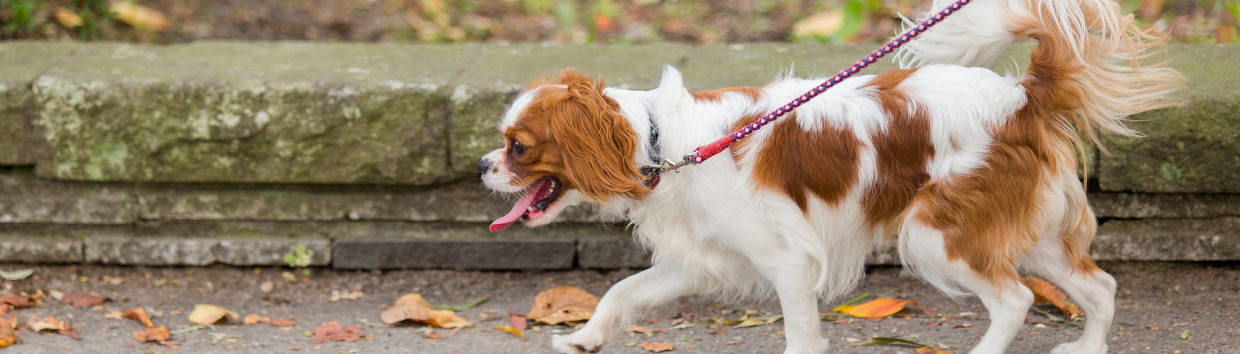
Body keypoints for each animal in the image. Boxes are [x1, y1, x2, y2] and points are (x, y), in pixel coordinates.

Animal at [476, 0, 1180, 350]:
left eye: (518, 147)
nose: (482, 165)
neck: (661, 143)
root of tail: (1020, 96)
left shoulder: (788, 261)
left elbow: (801, 334)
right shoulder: (697, 260)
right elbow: (621, 293)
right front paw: (583, 340)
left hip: (936, 235)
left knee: (1015, 300)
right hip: (1025, 234)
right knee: (1100, 286)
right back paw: (1087, 349)